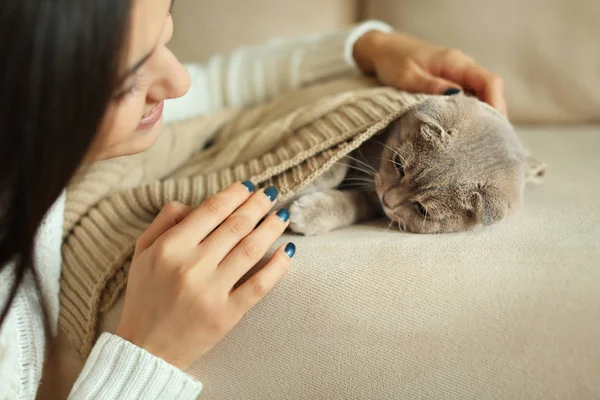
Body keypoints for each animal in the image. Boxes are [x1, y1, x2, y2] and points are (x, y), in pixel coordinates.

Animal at [284, 92, 548, 236]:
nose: (388, 200)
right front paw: (302, 183)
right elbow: (337, 162)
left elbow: (357, 204)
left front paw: (308, 213)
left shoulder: (374, 201)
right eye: (398, 165)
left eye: (422, 210)